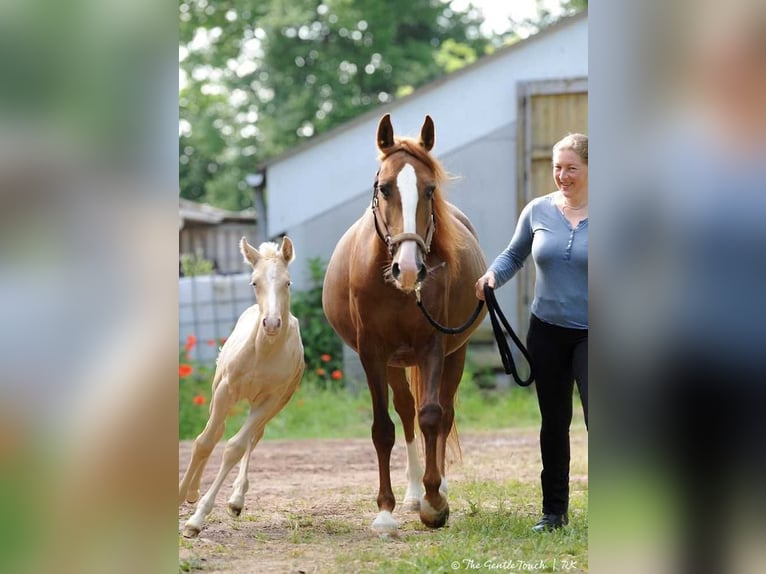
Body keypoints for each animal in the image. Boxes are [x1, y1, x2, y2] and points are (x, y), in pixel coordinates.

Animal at [178, 237, 304, 540]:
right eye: (254, 282)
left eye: (288, 282)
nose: (271, 323)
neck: (263, 353)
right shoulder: (225, 390)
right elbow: (204, 441)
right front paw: (182, 495)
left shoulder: (270, 400)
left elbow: (235, 447)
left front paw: (196, 520)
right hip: (217, 392)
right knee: (214, 433)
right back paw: (192, 491)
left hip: (274, 404)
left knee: (252, 439)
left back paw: (235, 500)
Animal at [322, 113, 488, 536]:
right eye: (384, 188)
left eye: (430, 190)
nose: (409, 268)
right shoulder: (372, 354)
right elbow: (384, 428)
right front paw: (385, 510)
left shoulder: (432, 346)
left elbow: (432, 416)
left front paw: (435, 504)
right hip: (396, 363)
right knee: (406, 412)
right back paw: (412, 493)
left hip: (455, 354)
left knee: (442, 413)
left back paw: (434, 489)